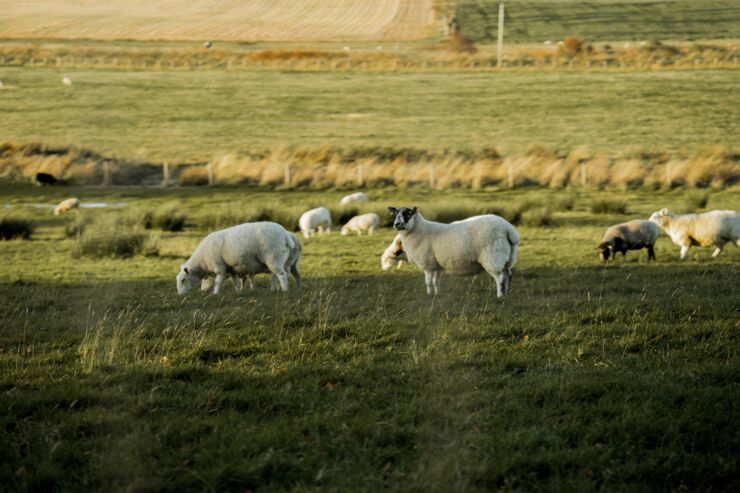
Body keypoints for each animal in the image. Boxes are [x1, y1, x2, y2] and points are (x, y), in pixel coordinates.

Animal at [388, 208, 520, 296]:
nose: (396, 224)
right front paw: (436, 295)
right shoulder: (436, 265)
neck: (418, 230)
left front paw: (429, 295)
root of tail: (509, 229)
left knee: (500, 277)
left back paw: (500, 295)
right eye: (395, 214)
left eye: (407, 214)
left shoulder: (428, 265)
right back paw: (507, 293)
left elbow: (429, 282)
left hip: (493, 256)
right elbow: (436, 282)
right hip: (506, 257)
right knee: (508, 274)